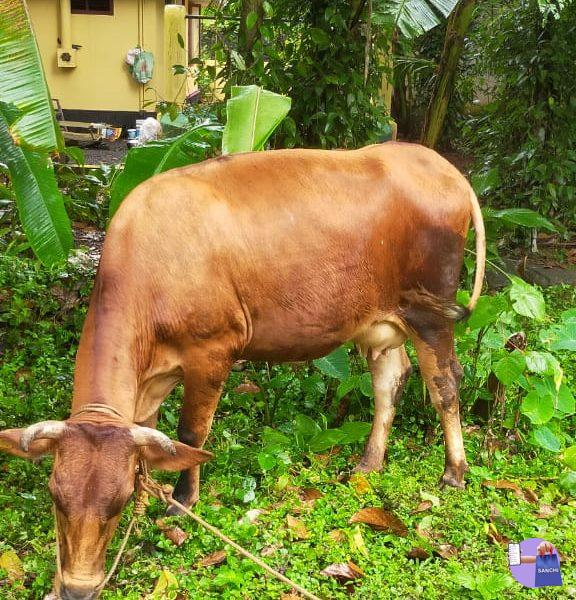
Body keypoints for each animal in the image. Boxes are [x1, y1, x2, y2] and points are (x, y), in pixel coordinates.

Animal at [0, 142, 486, 600]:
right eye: (55, 496)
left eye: (117, 503)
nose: (77, 588)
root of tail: (443, 168)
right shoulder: (149, 382)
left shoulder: (213, 350)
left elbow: (191, 434)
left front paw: (182, 501)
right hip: (382, 320)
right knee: (390, 382)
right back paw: (368, 463)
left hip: (431, 313)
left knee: (445, 383)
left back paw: (454, 471)